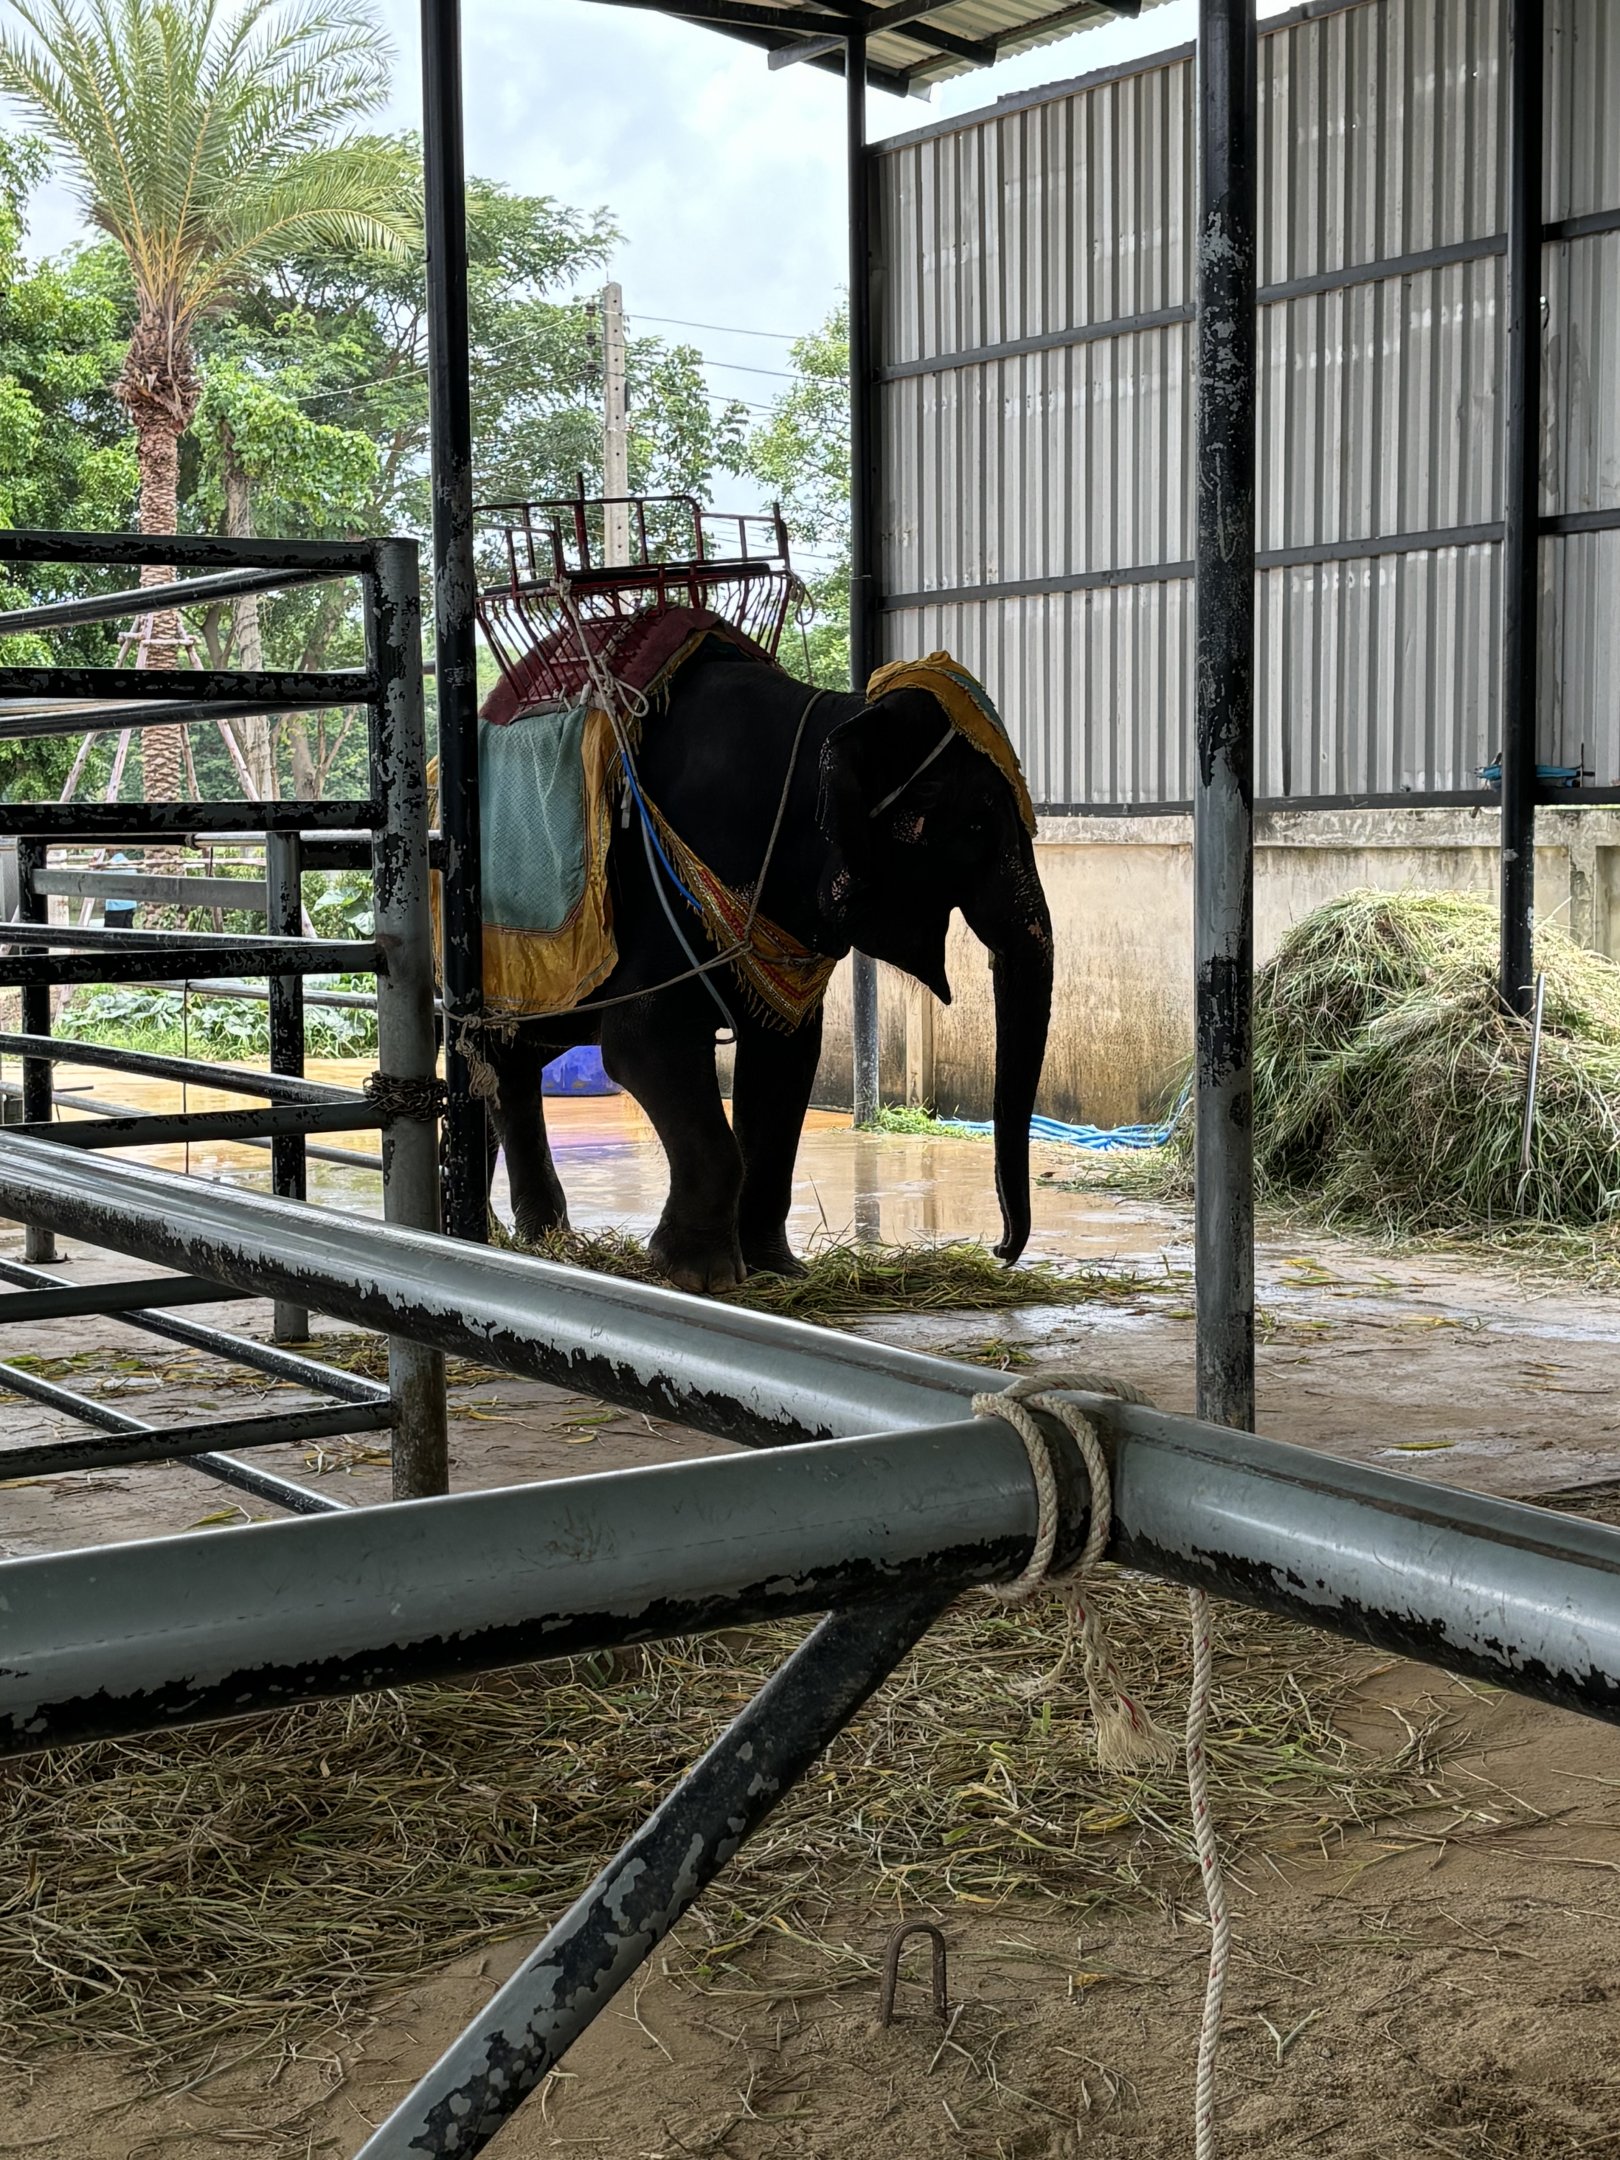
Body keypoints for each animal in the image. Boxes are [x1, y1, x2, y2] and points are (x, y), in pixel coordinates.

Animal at [479, 646, 1054, 1292]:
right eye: (979, 822)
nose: (1000, 1249)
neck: (834, 713)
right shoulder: (660, 883)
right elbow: (644, 1040)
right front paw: (699, 1277)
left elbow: (788, 1055)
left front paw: (777, 1271)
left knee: (502, 1067)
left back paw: (529, 1238)